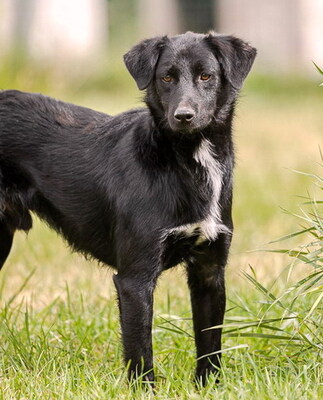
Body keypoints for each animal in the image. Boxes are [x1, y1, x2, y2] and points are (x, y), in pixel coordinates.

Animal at [0, 33, 258, 384]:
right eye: (166, 78)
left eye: (206, 76)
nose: (184, 116)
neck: (186, 160)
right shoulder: (135, 279)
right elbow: (140, 349)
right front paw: (144, 389)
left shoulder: (209, 270)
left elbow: (210, 342)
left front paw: (209, 385)